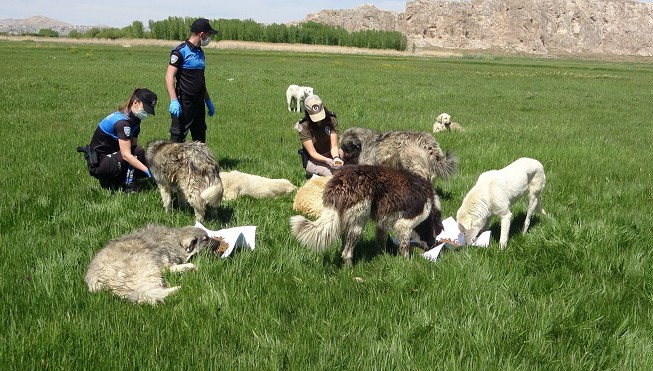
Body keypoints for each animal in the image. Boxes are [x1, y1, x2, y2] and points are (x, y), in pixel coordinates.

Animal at [290, 166, 444, 268]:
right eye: (434, 235)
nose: (432, 246)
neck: (430, 204)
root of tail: (340, 183)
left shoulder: (382, 223)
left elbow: (381, 242)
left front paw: (382, 256)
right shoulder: (404, 224)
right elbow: (404, 248)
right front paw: (407, 263)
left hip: (347, 222)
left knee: (343, 248)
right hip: (358, 224)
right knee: (347, 253)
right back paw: (349, 272)